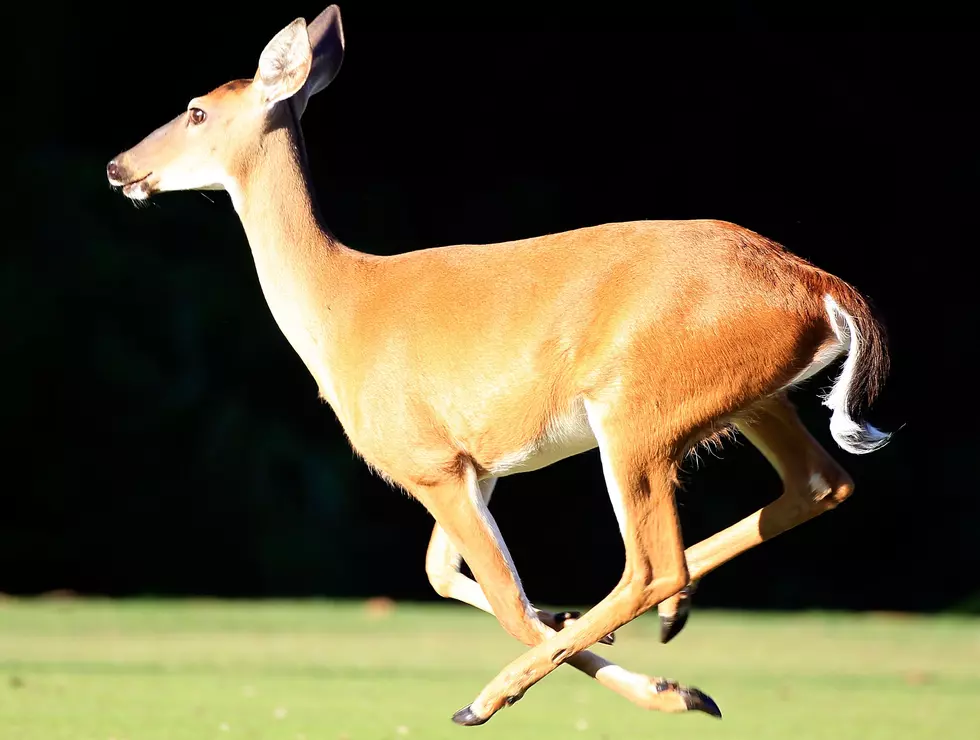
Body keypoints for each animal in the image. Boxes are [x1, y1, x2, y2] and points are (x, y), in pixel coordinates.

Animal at [106, 4, 893, 726]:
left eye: (197, 110)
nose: (119, 166)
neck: (343, 308)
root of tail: (819, 286)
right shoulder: (471, 463)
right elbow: (444, 576)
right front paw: (584, 632)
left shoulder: (427, 461)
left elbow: (504, 602)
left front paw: (625, 682)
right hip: (750, 398)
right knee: (822, 482)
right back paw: (667, 619)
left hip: (637, 408)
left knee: (650, 561)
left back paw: (546, 692)